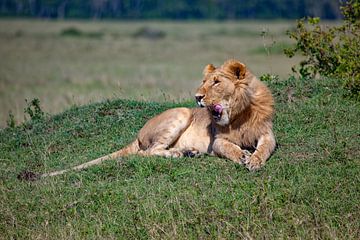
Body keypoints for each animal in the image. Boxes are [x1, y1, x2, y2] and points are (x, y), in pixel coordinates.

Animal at [38, 59, 276, 179]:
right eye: (204, 82)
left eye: (216, 82)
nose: (197, 97)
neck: (238, 114)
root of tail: (138, 134)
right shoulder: (216, 141)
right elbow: (229, 148)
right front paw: (243, 156)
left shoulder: (267, 134)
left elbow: (264, 148)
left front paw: (254, 160)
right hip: (180, 113)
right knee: (148, 152)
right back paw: (180, 153)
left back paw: (189, 152)